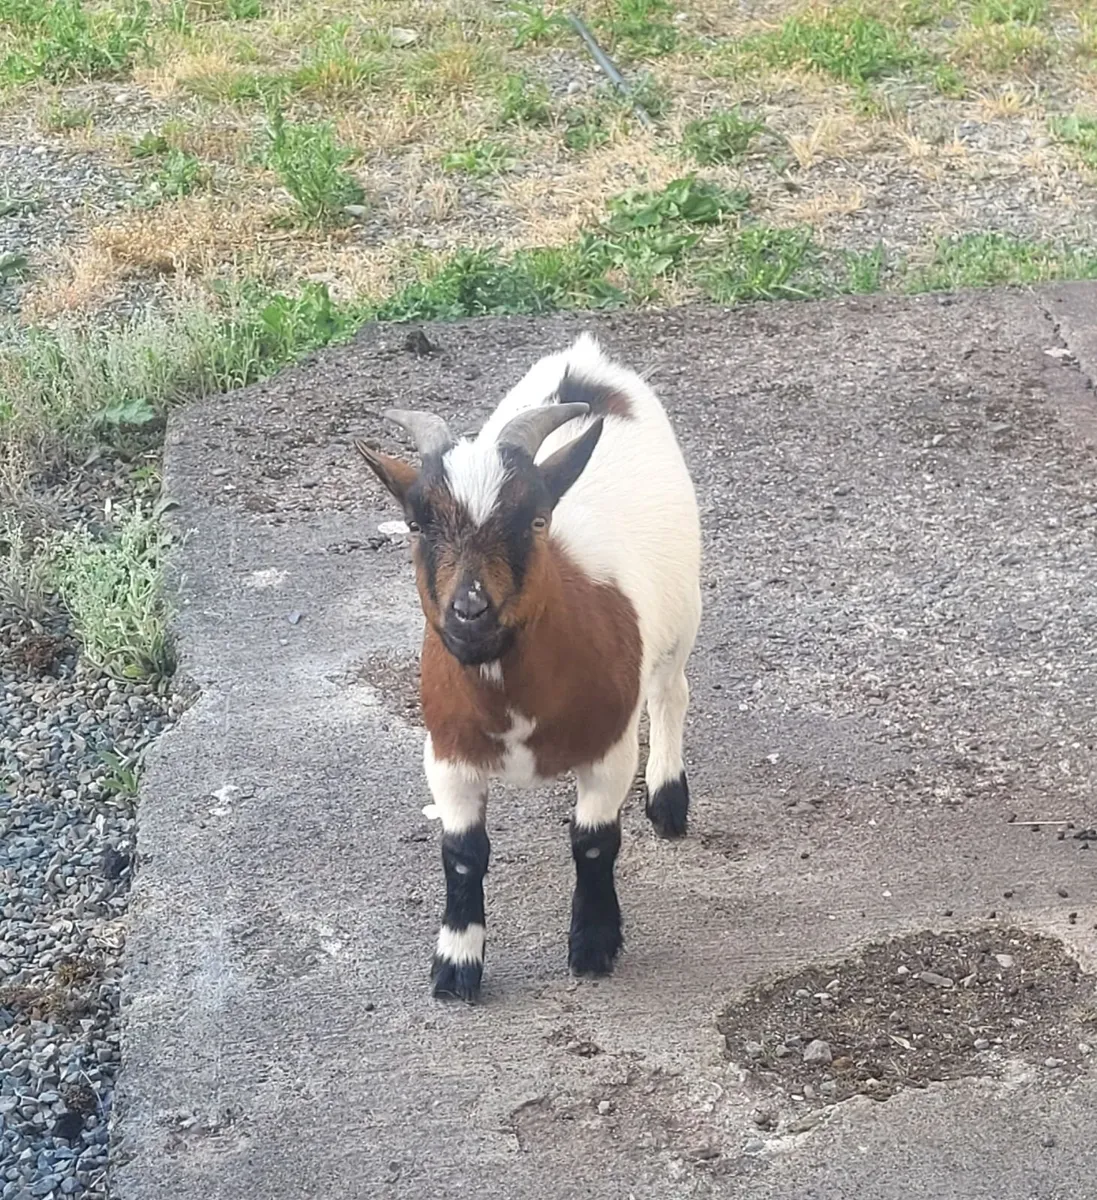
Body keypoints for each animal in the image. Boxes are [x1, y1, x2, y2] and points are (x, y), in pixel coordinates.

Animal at [356, 332, 702, 1002]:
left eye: (536, 520)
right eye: (416, 524)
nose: (470, 608)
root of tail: (588, 366)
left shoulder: (608, 749)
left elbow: (593, 843)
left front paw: (593, 946)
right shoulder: (448, 755)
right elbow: (463, 853)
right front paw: (456, 966)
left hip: (683, 610)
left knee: (671, 692)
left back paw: (668, 800)